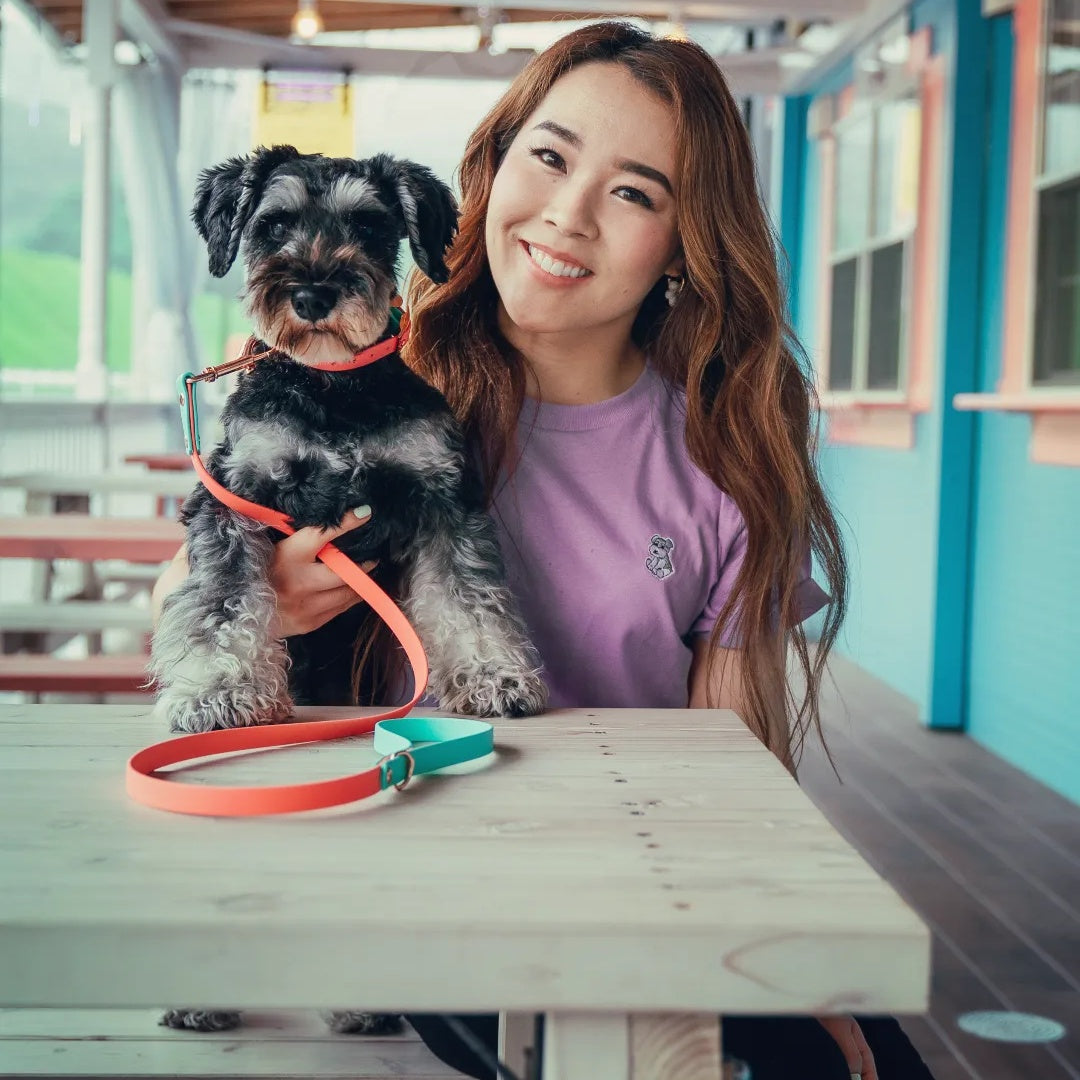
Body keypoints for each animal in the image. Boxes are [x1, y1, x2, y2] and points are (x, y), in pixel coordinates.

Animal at [152, 147, 548, 1032]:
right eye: (273, 224)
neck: (334, 387)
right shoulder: (231, 497)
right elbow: (222, 606)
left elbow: (466, 600)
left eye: (370, 224)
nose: (312, 293)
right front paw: (216, 693)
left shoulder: (443, 500)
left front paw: (494, 677)